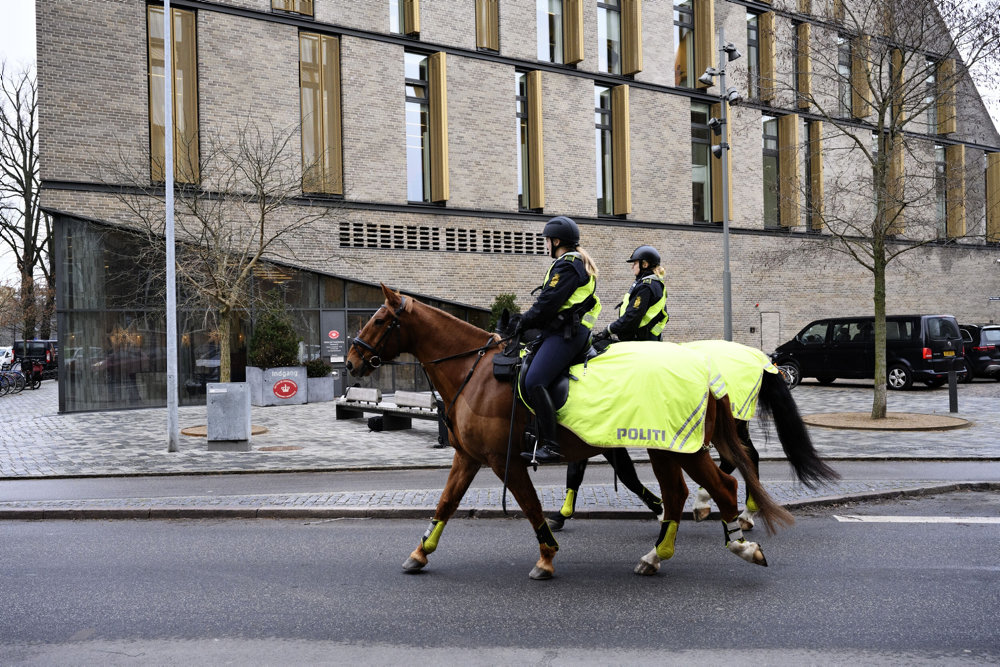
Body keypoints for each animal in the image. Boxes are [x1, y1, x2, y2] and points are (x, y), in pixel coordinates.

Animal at [348, 286, 792, 580]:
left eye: (380, 320)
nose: (352, 360)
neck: (476, 374)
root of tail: (704, 368)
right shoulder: (469, 458)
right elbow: (446, 503)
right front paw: (420, 552)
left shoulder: (504, 461)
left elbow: (530, 506)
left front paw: (546, 556)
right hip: (669, 447)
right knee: (685, 491)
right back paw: (661, 552)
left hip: (680, 448)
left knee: (721, 485)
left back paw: (739, 541)